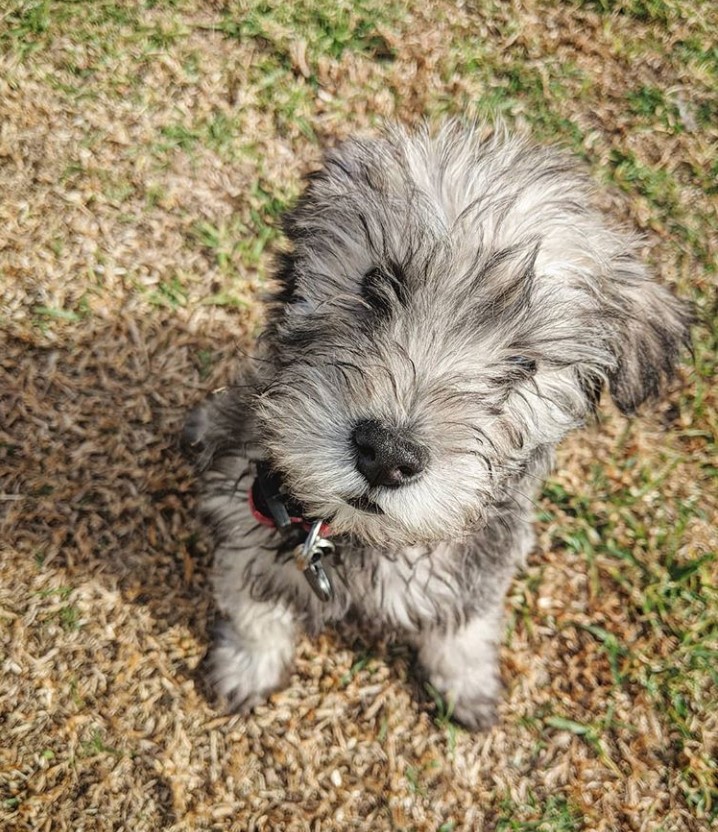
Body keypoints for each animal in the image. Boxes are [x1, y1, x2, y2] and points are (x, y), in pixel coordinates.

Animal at [184, 123, 692, 728]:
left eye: (525, 364)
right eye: (375, 286)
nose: (387, 455)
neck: (364, 539)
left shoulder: (479, 570)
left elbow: (463, 629)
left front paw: (468, 685)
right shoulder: (250, 528)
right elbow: (254, 614)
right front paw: (246, 667)